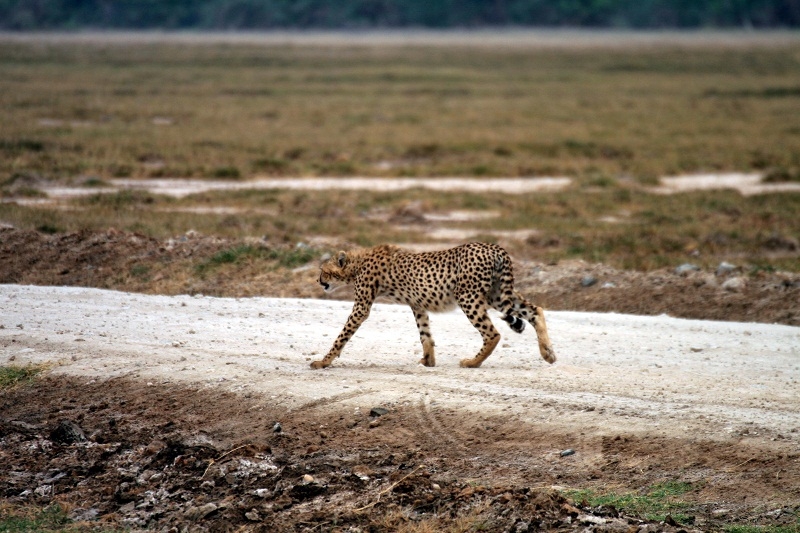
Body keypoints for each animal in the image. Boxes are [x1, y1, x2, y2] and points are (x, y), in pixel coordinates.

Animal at [312, 243, 556, 368]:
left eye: (324, 271)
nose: (319, 281)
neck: (357, 263)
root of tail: (494, 247)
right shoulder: (417, 304)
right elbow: (425, 335)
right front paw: (428, 361)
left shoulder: (362, 306)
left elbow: (342, 336)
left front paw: (323, 361)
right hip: (497, 295)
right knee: (535, 311)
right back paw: (548, 354)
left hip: (468, 297)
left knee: (492, 333)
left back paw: (472, 362)